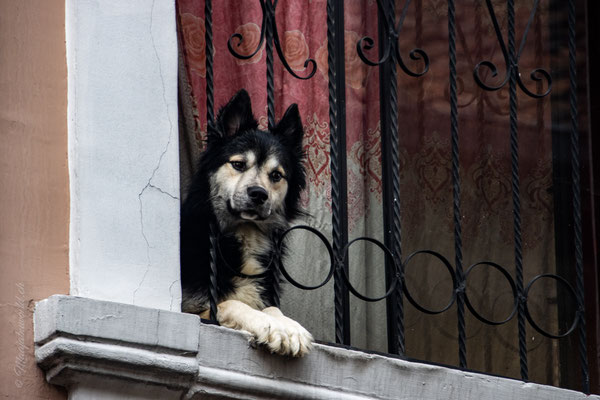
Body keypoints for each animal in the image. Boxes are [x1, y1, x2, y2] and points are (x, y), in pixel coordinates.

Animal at [180, 90, 314, 356]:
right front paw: (270, 326)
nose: (258, 194)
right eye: (238, 164)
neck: (244, 235)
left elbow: (272, 308)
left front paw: (289, 326)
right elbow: (230, 303)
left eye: (276, 175)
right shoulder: (189, 308)